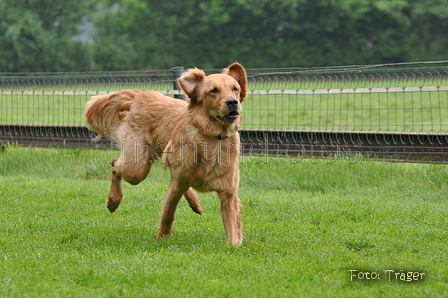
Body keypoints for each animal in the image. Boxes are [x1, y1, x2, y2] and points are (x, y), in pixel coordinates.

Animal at [83, 62, 245, 244]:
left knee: (172, 176)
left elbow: (233, 226)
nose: (232, 102)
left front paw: (235, 244)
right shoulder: (176, 186)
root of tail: (142, 95)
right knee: (115, 164)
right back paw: (113, 201)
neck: (212, 139)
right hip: (137, 168)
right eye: (214, 90)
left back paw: (195, 203)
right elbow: (168, 212)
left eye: (235, 89)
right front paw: (162, 239)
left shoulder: (228, 193)